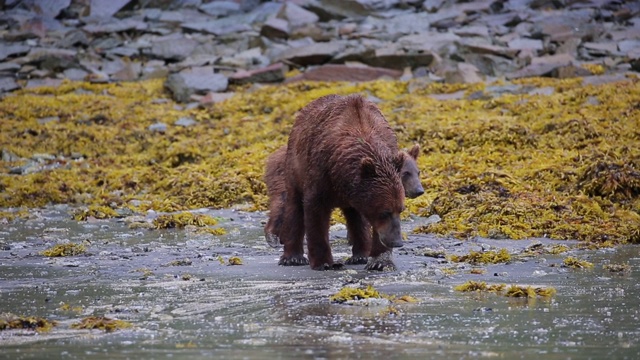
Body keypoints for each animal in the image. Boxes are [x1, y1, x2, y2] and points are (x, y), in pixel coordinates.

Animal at [278, 94, 408, 272]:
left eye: (400, 209)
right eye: (384, 212)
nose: (397, 242)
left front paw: (380, 261)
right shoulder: (321, 172)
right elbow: (315, 211)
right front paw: (324, 262)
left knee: (355, 217)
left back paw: (360, 255)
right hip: (295, 165)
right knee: (294, 205)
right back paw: (292, 257)